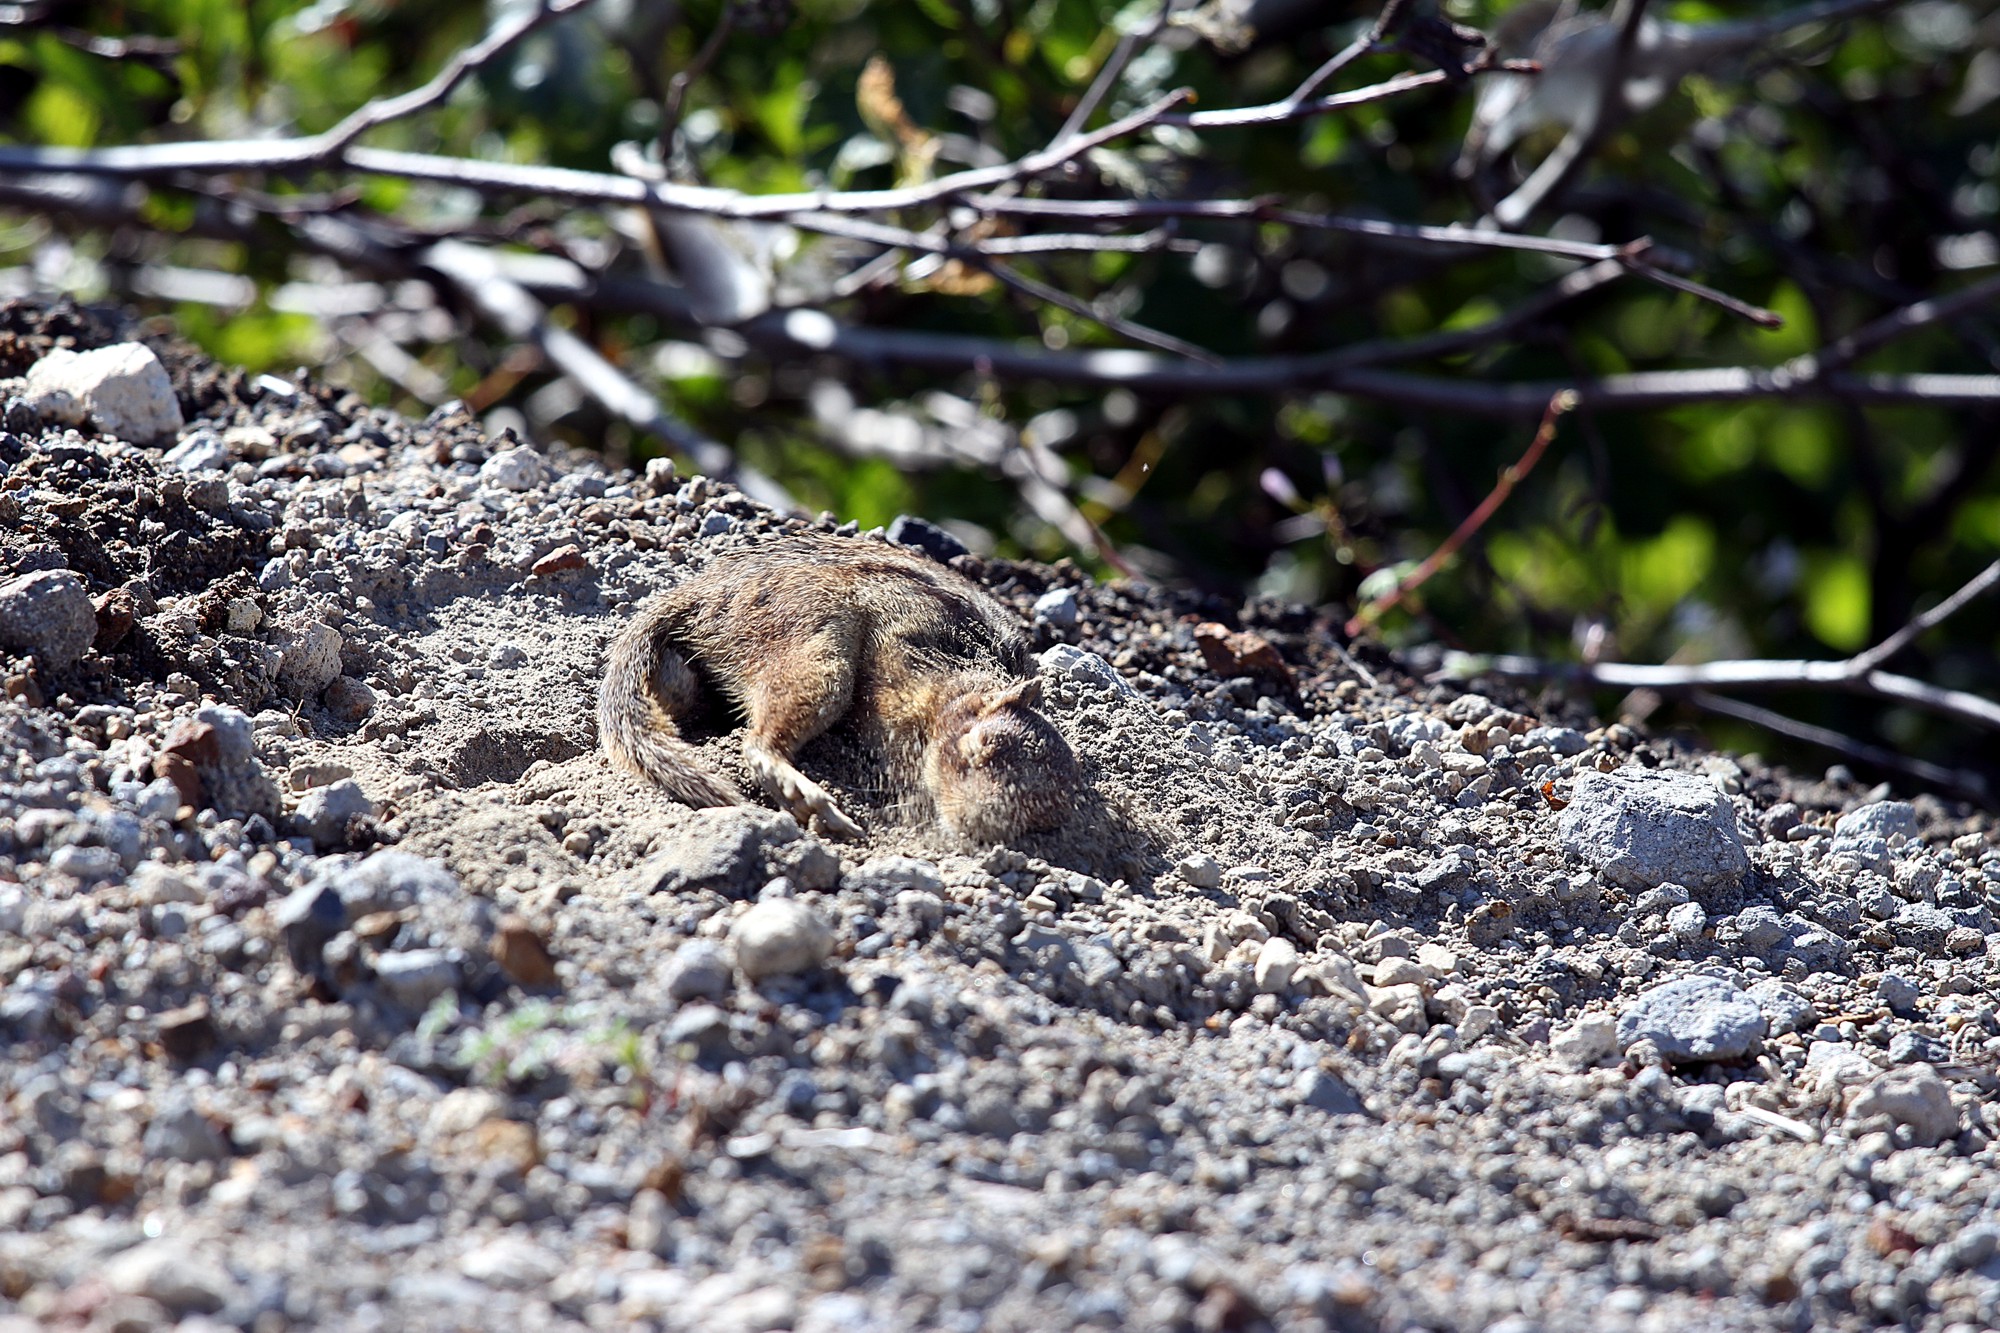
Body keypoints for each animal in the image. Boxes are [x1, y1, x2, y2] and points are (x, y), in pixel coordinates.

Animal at [599, 534, 1081, 843]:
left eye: (1037, 819)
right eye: (981, 745)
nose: (974, 825)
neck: (955, 686)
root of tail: (699, 594)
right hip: (818, 651)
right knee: (758, 743)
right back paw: (812, 800)